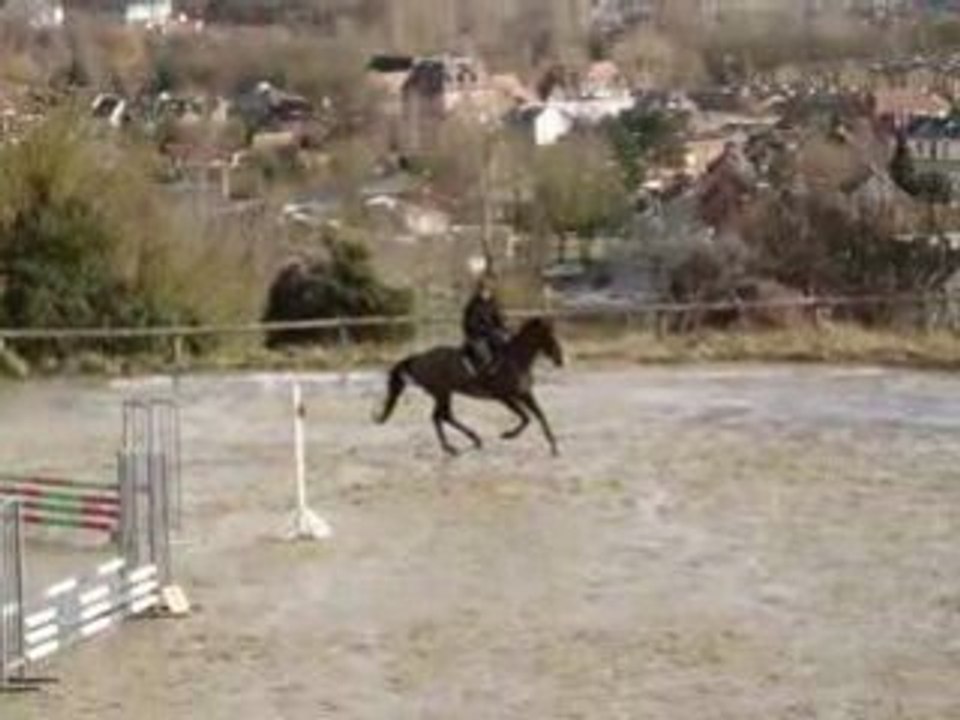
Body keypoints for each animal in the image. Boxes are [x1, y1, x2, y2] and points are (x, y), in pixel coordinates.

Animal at [376, 317, 565, 456]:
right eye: (549, 337)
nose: (559, 360)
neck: (515, 360)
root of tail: (419, 358)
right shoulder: (505, 397)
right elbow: (526, 417)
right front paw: (507, 435)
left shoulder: (525, 393)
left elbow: (540, 415)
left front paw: (554, 447)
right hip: (441, 392)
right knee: (440, 416)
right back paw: (455, 446)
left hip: (444, 393)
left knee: (442, 416)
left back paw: (468, 442)